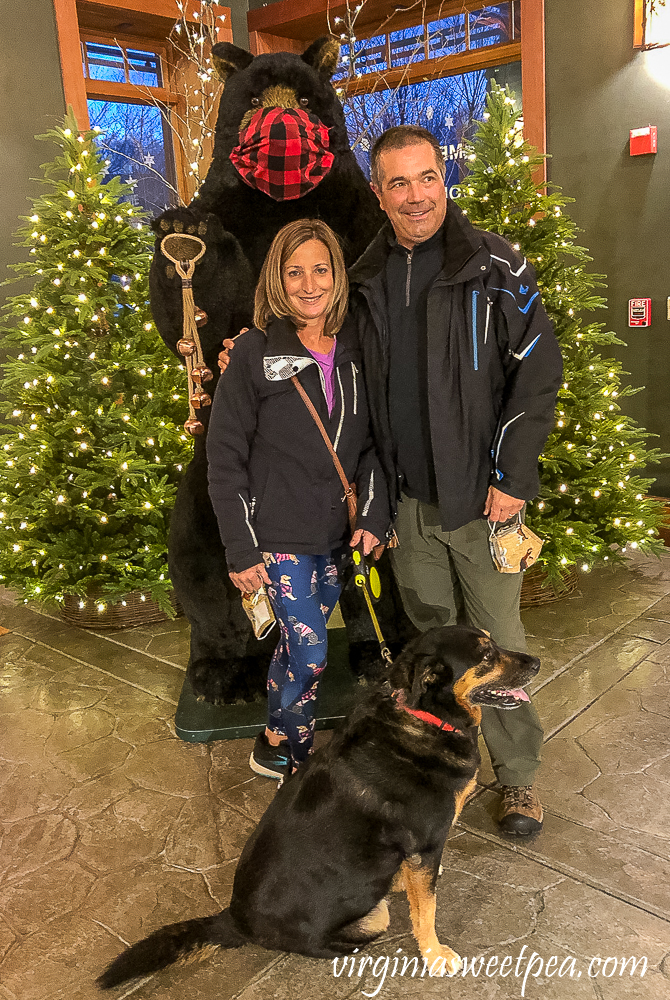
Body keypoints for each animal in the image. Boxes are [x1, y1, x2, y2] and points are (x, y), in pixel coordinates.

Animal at [98, 628, 540, 988]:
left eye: (493, 645)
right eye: (486, 656)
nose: (536, 662)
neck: (425, 715)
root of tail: (231, 918)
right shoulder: (426, 843)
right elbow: (426, 911)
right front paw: (434, 954)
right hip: (371, 918)